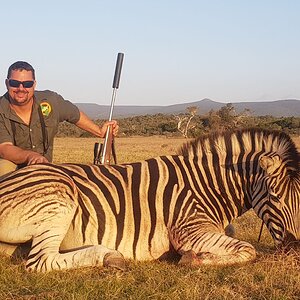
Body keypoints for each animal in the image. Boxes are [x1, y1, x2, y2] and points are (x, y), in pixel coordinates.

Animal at [0, 129, 298, 272]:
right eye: (274, 195)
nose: (294, 248)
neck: (205, 186)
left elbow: (235, 236)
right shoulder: (190, 231)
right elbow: (248, 250)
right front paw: (195, 259)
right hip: (58, 199)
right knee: (41, 261)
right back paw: (109, 256)